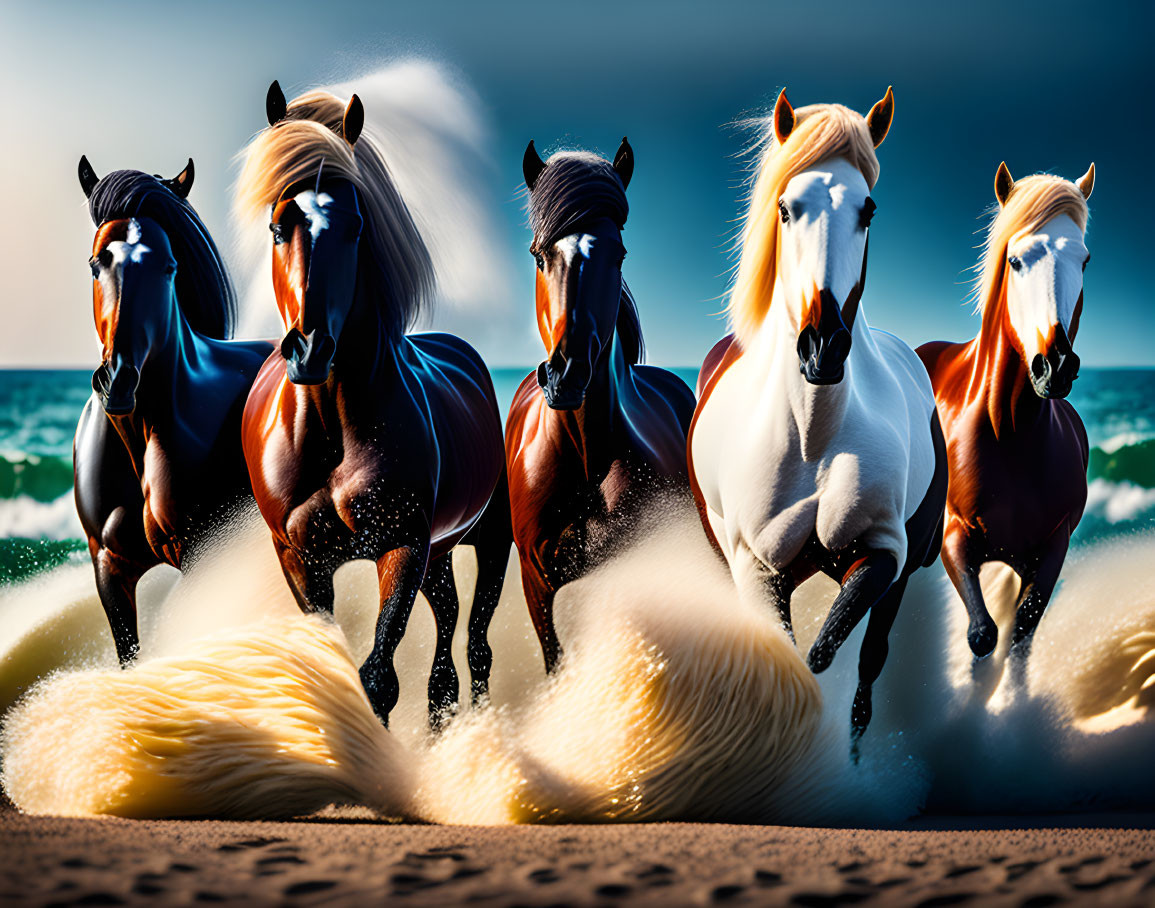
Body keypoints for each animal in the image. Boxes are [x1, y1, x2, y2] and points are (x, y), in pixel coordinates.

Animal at [236, 83, 508, 720]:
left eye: (356, 226)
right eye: (278, 226)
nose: (310, 348)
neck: (331, 424)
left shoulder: (402, 548)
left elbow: (378, 677)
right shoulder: (301, 560)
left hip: (487, 543)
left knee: (473, 643)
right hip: (440, 553)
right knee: (448, 642)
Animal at [683, 86, 947, 748]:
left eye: (868, 210)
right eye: (785, 207)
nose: (822, 347)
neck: (812, 435)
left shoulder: (883, 553)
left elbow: (827, 657)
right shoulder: (756, 569)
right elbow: (790, 660)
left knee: (870, 663)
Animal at [914, 160, 1094, 665]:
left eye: (1084, 260)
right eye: (1015, 260)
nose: (1056, 364)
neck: (1009, 430)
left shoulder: (1052, 547)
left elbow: (1019, 634)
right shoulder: (954, 537)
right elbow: (982, 634)